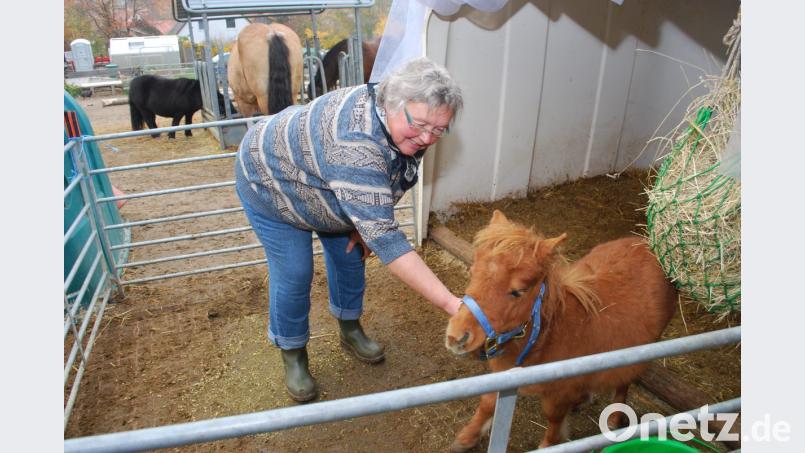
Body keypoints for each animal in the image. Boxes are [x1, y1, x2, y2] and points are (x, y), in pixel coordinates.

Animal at [445, 210, 678, 450]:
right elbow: (488, 402)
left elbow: (554, 418)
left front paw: (549, 445)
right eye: (472, 271)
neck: (547, 336)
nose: (456, 336)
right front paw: (466, 438)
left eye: (518, 291)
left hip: (636, 352)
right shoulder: (503, 376)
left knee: (625, 379)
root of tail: (650, 246)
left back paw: (614, 418)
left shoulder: (559, 392)